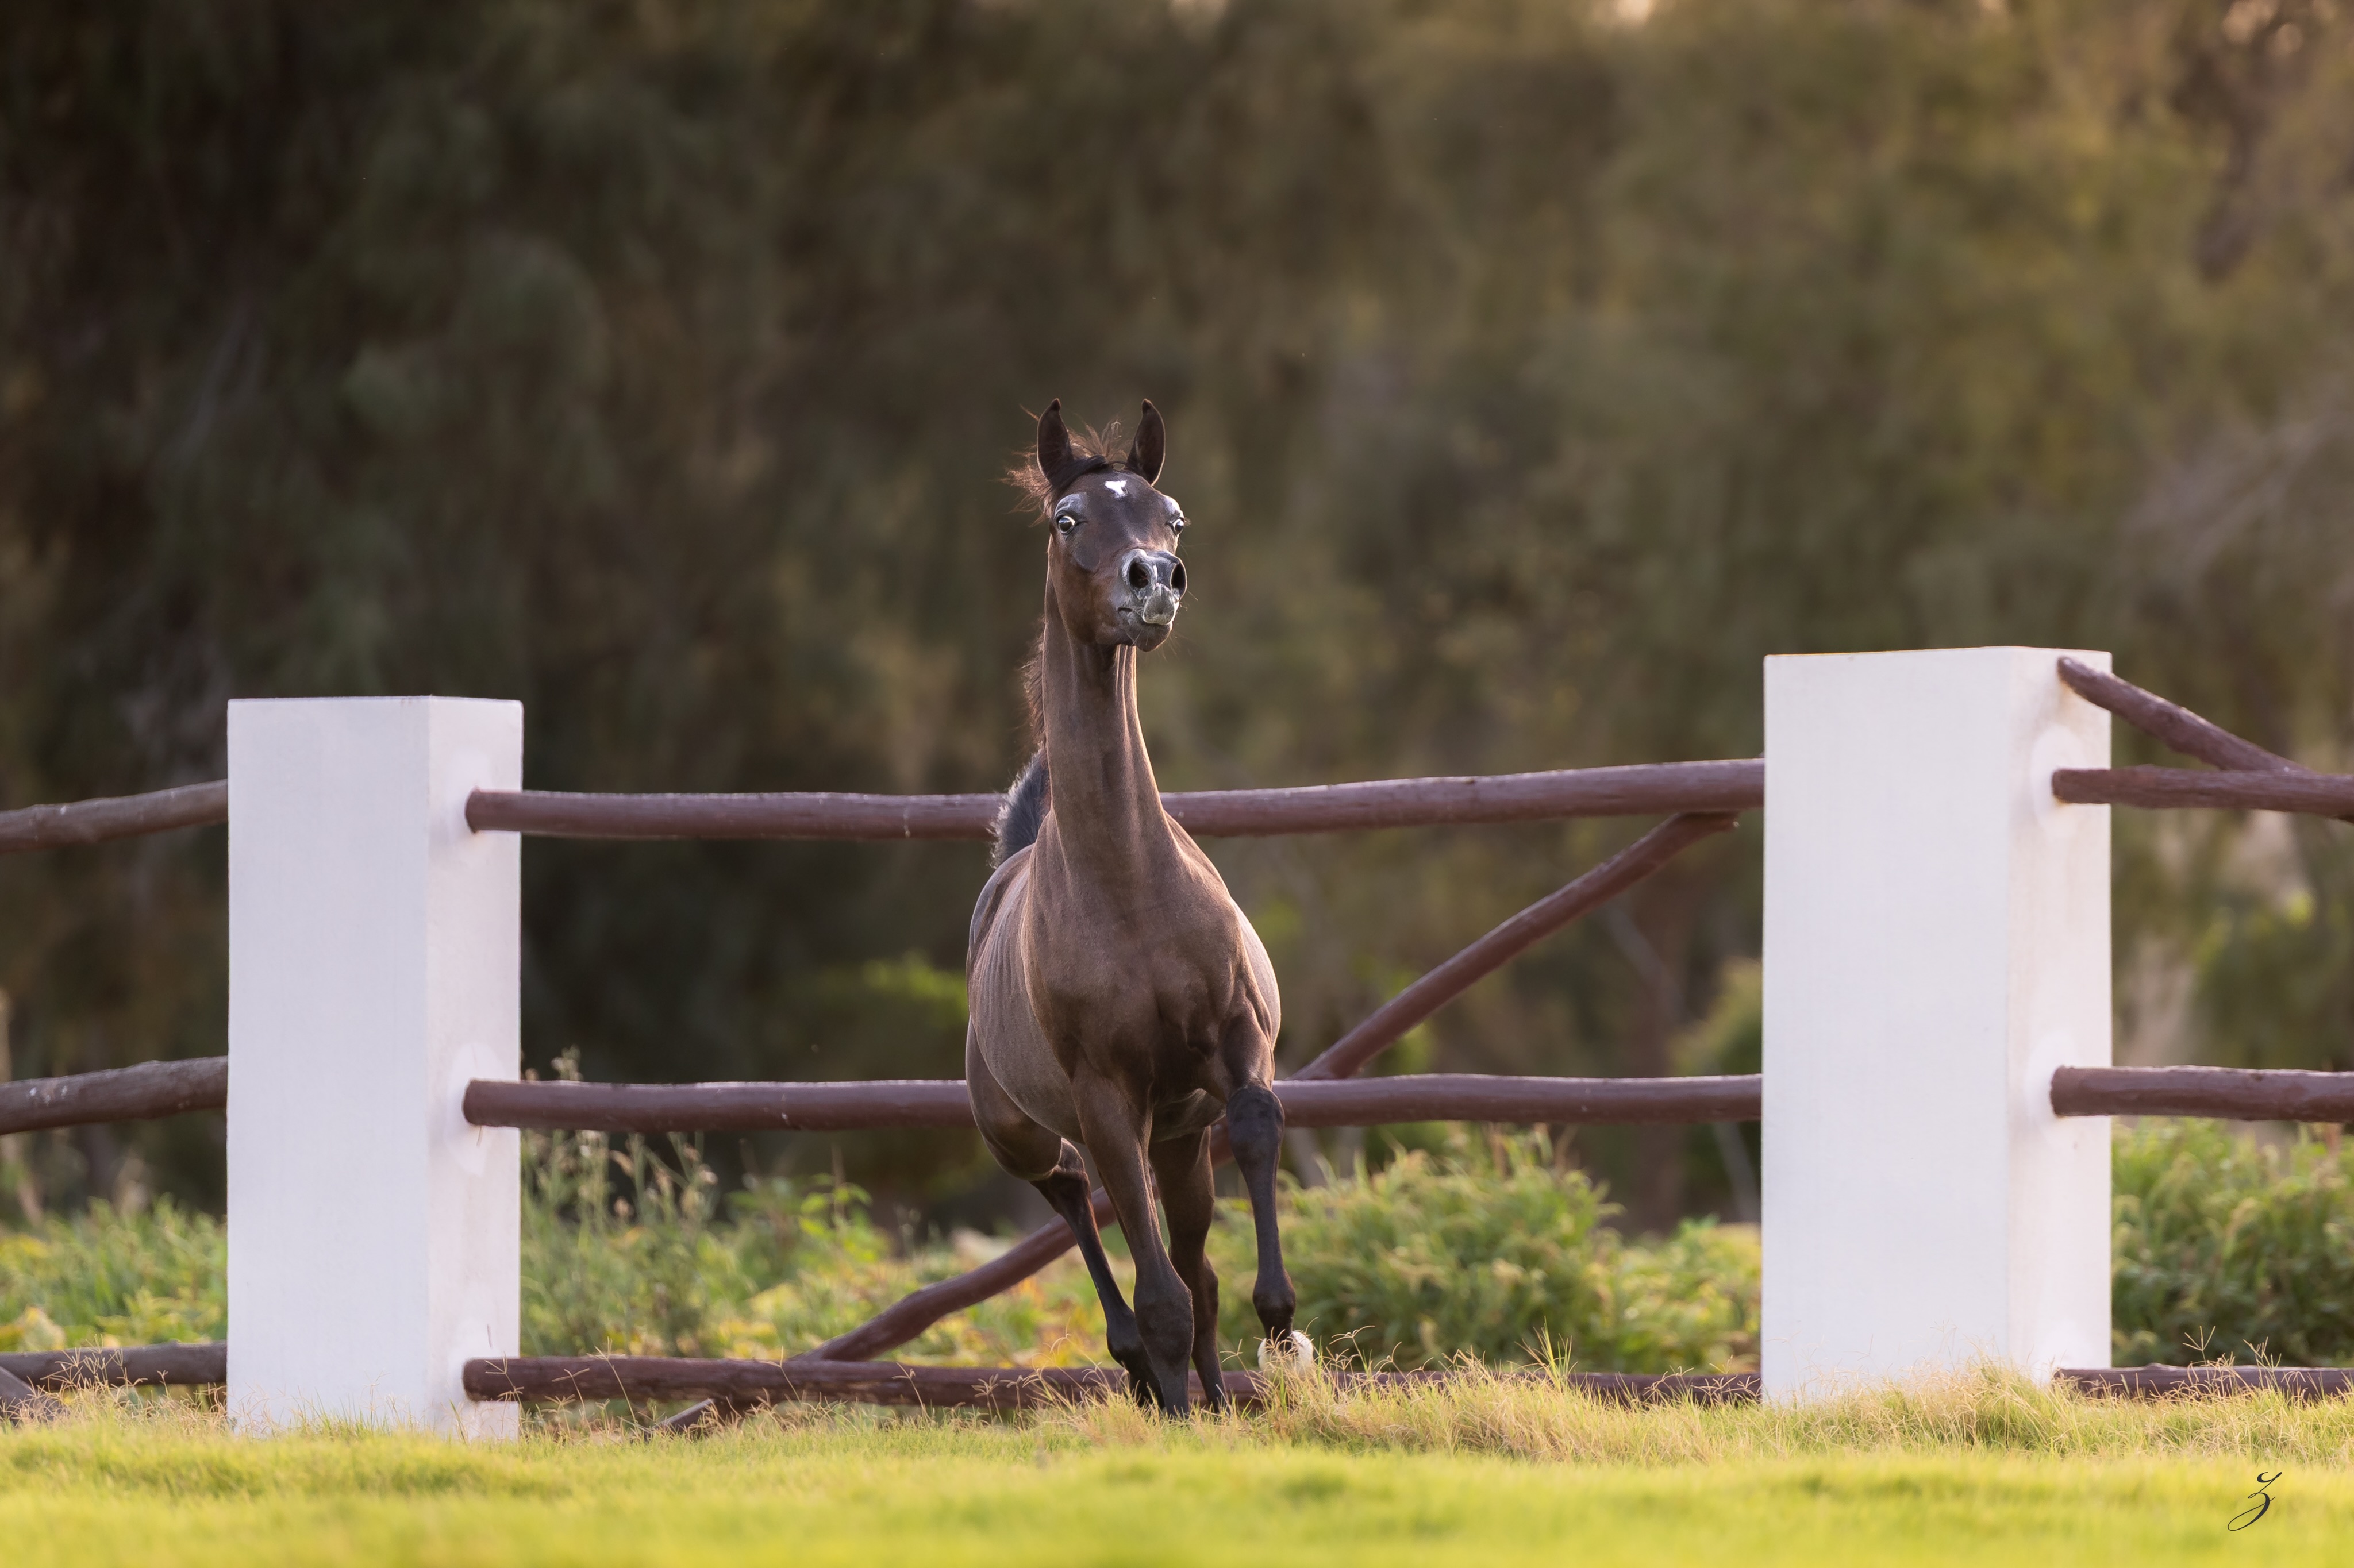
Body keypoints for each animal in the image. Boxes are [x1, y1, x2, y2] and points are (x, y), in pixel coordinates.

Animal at [964, 398, 1300, 1415]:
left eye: (1172, 515)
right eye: (1068, 519)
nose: (1156, 580)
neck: (1128, 893)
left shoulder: (1236, 1042)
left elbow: (1257, 1129)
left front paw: (1287, 1333)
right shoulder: (1108, 1099)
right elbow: (1159, 1297)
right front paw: (1177, 1398)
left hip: (1177, 1138)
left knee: (1194, 1262)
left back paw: (1216, 1389)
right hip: (1024, 1132)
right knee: (1076, 1195)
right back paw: (1146, 1373)